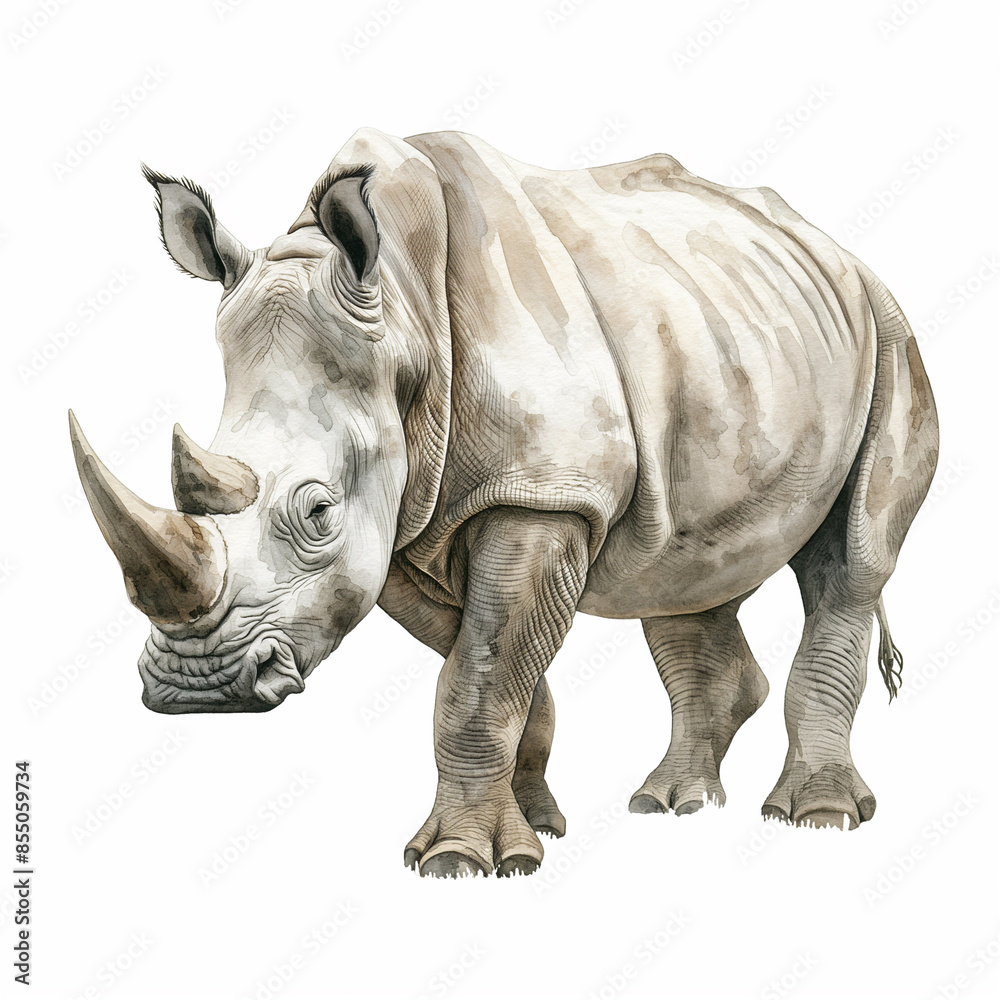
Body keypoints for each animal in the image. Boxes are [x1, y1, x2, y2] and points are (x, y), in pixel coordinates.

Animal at [70, 128, 938, 878]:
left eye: (318, 514)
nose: (196, 688)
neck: (404, 310)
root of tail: (837, 251)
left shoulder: (542, 496)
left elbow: (478, 680)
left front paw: (462, 861)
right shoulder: (405, 525)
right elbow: (490, 669)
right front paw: (536, 827)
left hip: (890, 337)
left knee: (851, 564)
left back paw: (816, 817)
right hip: (730, 346)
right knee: (681, 579)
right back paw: (671, 803)